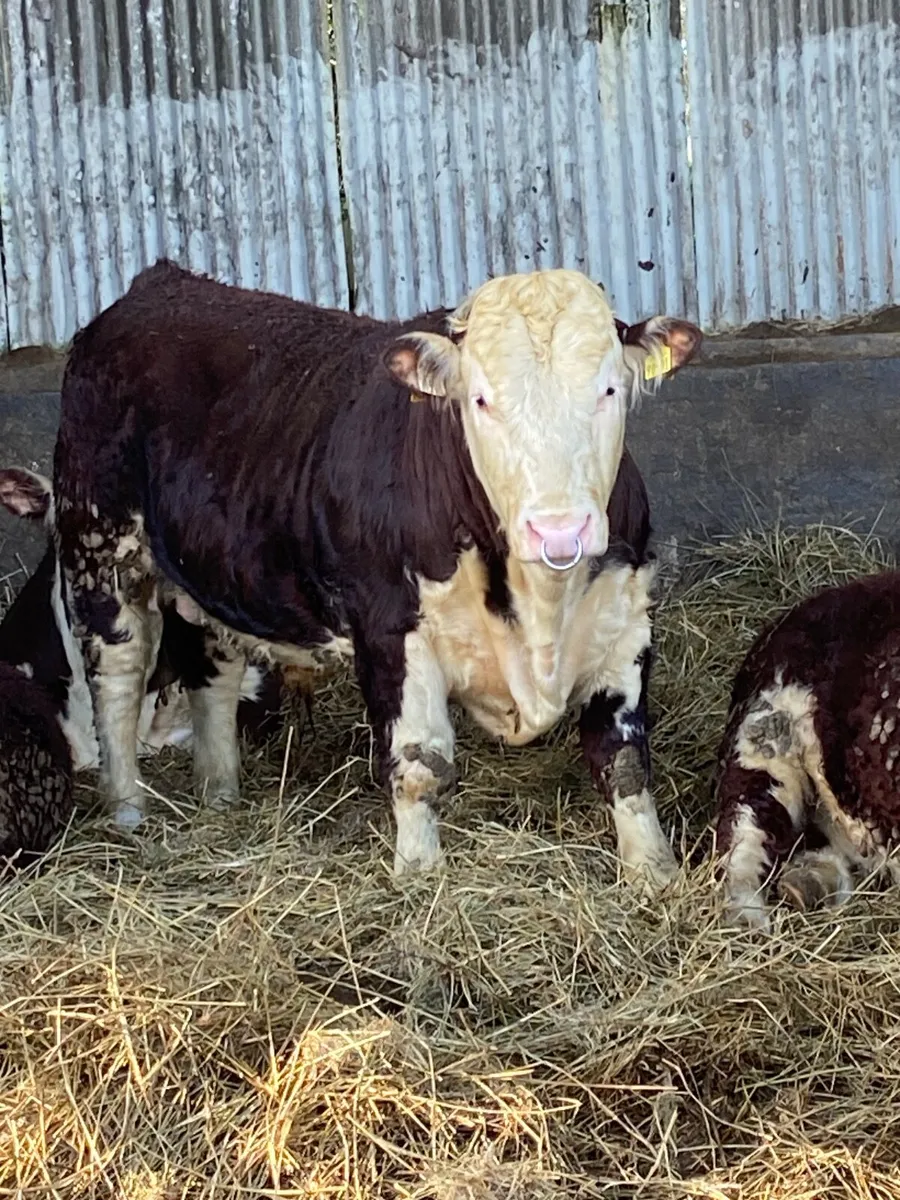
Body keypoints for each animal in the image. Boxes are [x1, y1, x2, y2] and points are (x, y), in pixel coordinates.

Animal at [51, 261, 701, 886]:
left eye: (609, 389)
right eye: (480, 400)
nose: (558, 529)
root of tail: (156, 285)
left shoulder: (627, 619)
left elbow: (623, 760)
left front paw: (654, 872)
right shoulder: (391, 630)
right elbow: (419, 764)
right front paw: (418, 874)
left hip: (210, 571)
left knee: (213, 669)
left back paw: (220, 797)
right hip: (96, 545)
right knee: (117, 678)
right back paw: (128, 811)